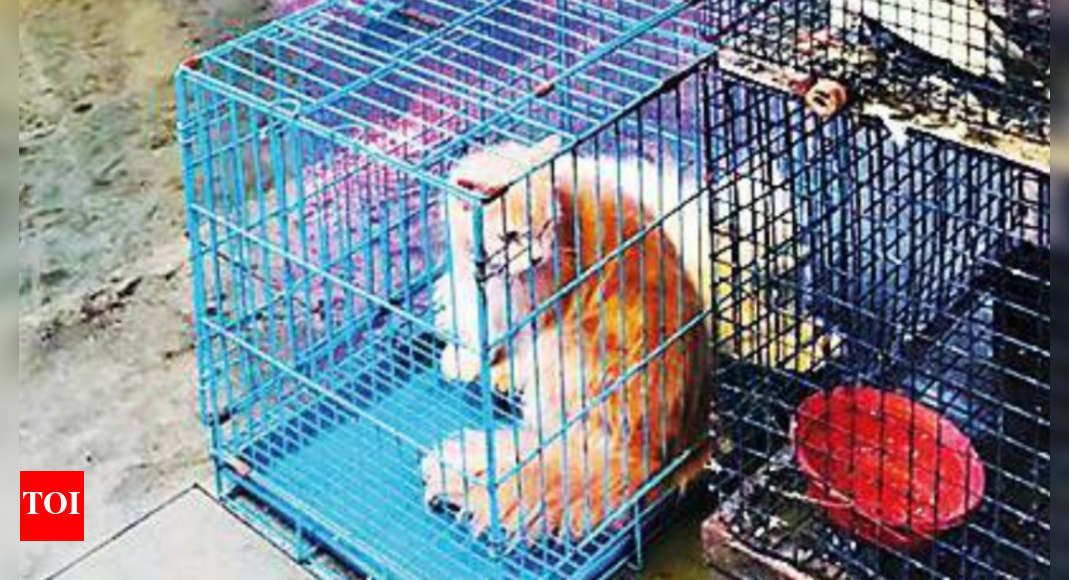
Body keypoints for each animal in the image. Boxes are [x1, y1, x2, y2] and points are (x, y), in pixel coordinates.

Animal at [424, 137, 711, 541]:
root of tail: (656, 455)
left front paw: (490, 369)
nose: (537, 257)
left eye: (546, 225)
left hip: (561, 350)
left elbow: (507, 348)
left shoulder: (533, 320)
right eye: (511, 236)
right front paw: (461, 356)